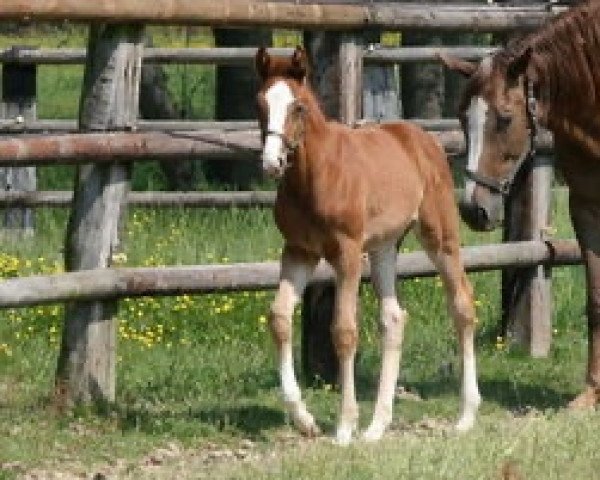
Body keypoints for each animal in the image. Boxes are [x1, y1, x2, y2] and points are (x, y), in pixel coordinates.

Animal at [255, 47, 480, 444]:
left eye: (298, 106)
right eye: (260, 103)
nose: (272, 162)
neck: (315, 175)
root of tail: (422, 139)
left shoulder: (346, 254)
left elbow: (344, 331)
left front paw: (345, 426)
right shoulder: (299, 251)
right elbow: (280, 317)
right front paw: (305, 419)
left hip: (440, 237)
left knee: (462, 305)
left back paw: (466, 415)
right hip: (383, 246)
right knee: (394, 318)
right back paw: (377, 426)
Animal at [438, 1, 600, 408]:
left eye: (505, 118)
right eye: (463, 117)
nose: (474, 209)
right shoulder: (586, 207)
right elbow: (596, 299)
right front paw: (591, 393)